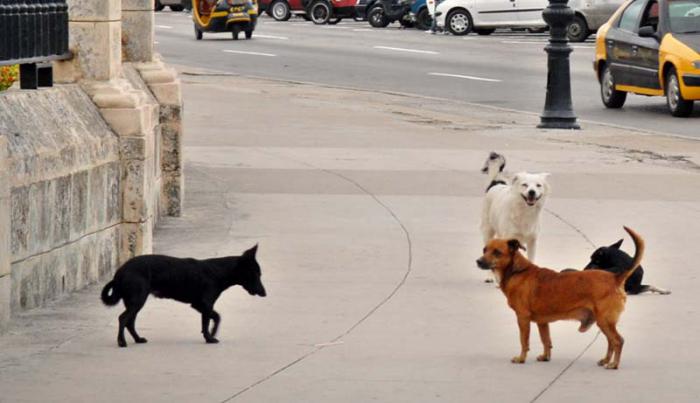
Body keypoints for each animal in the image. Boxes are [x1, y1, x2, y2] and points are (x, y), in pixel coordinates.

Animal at [98, 245, 262, 348]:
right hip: (137, 300)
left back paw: (138, 339)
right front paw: (209, 338)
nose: (264, 293)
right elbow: (208, 321)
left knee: (130, 322)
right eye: (256, 274)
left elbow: (215, 317)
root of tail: (120, 272)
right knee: (123, 319)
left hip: (134, 302)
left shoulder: (199, 305)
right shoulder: (205, 304)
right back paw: (121, 342)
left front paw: (211, 332)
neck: (218, 271)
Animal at [476, 227, 644, 370]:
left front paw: (521, 358)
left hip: (604, 321)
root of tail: (615, 278)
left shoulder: (522, 318)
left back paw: (614, 364)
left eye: (497, 252)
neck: (517, 271)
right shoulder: (542, 322)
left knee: (618, 341)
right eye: (484, 250)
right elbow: (546, 340)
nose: (478, 261)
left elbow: (524, 341)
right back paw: (606, 360)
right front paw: (545, 357)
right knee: (611, 341)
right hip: (604, 322)